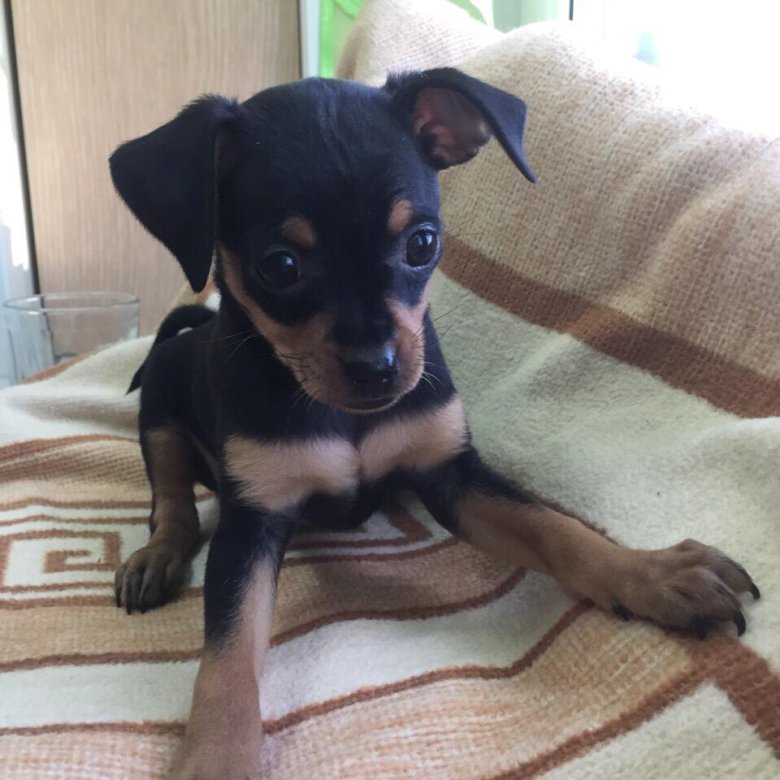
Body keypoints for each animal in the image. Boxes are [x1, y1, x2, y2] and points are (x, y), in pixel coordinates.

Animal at [110, 69, 759, 779]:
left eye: (422, 243)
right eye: (279, 266)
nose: (377, 370)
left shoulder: (450, 474)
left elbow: (556, 529)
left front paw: (653, 575)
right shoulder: (252, 521)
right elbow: (227, 659)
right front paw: (214, 757)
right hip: (160, 405)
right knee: (170, 498)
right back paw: (155, 557)